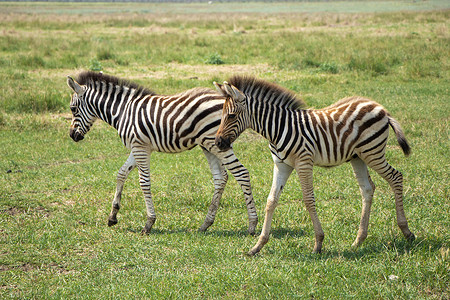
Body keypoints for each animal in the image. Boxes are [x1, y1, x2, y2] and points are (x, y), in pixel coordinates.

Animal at [65, 71, 258, 234]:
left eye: (73, 109)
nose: (72, 136)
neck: (123, 111)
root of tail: (225, 98)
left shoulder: (140, 148)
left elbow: (144, 183)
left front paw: (149, 222)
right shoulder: (137, 147)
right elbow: (121, 174)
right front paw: (113, 216)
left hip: (215, 143)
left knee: (241, 173)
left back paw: (252, 224)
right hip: (209, 144)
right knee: (221, 177)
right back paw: (206, 224)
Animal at [214, 76, 414, 254]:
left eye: (231, 116)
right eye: (221, 115)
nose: (218, 143)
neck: (278, 128)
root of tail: (380, 107)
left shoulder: (304, 162)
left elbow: (308, 199)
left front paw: (318, 243)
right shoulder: (281, 165)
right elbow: (271, 201)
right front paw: (258, 246)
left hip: (372, 152)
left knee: (396, 177)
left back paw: (406, 232)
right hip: (358, 157)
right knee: (367, 189)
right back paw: (358, 240)